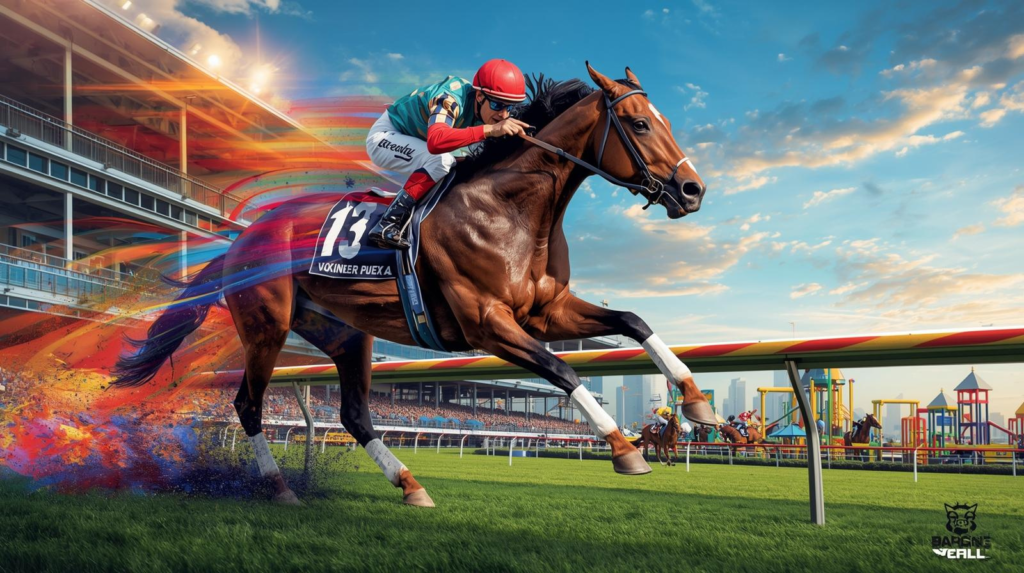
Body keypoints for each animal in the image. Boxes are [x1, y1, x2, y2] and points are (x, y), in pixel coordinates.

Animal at [112, 64, 711, 507]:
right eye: (639, 124)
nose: (692, 189)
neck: (512, 210)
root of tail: (242, 239)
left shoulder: (547, 310)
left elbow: (633, 321)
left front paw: (695, 401)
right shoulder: (486, 323)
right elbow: (562, 370)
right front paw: (623, 448)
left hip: (344, 333)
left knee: (354, 415)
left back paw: (410, 484)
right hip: (267, 326)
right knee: (249, 405)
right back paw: (280, 487)